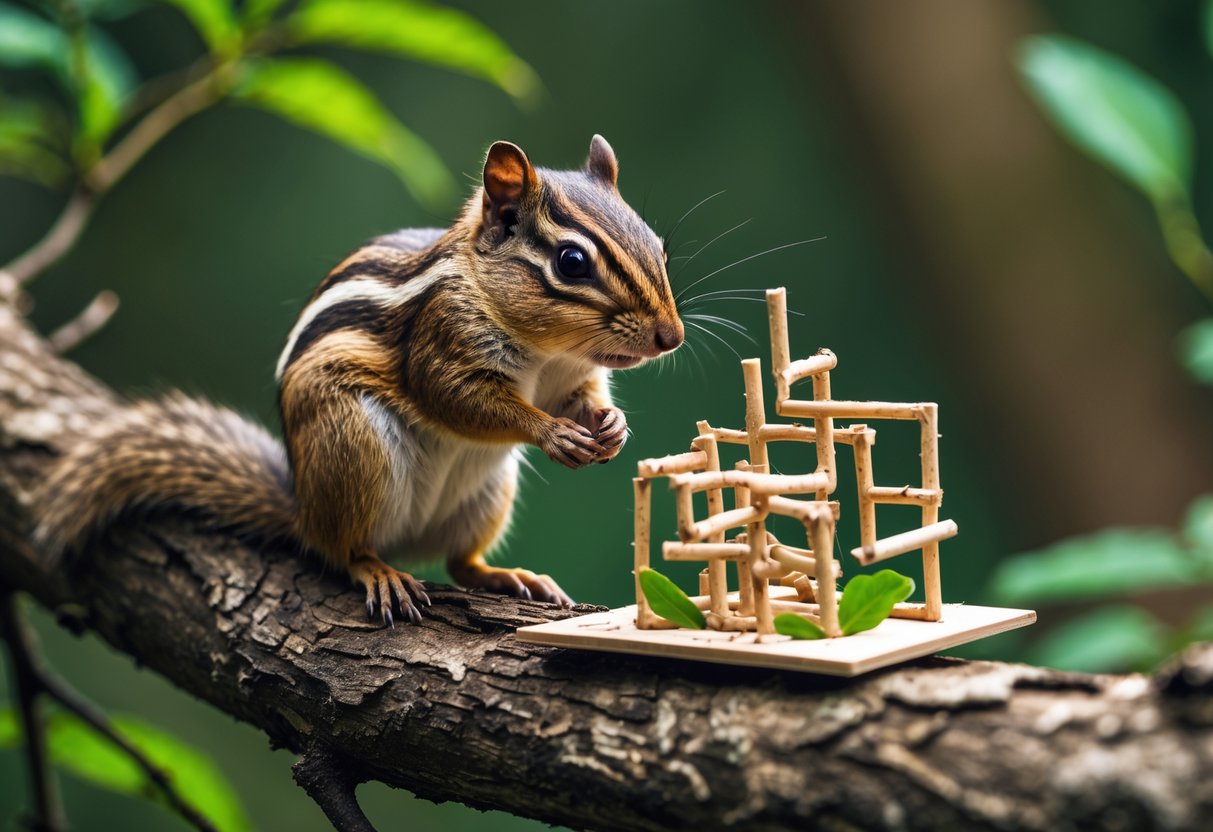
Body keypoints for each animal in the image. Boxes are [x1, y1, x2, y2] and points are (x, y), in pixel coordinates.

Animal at [34, 135, 684, 626]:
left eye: (659, 247)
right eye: (572, 263)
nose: (670, 336)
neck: (549, 351)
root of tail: (304, 509)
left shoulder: (574, 377)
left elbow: (584, 399)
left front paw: (611, 425)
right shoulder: (440, 343)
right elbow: (460, 399)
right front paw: (554, 433)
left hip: (488, 492)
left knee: (460, 564)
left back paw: (509, 576)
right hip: (355, 448)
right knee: (343, 550)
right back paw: (379, 570)